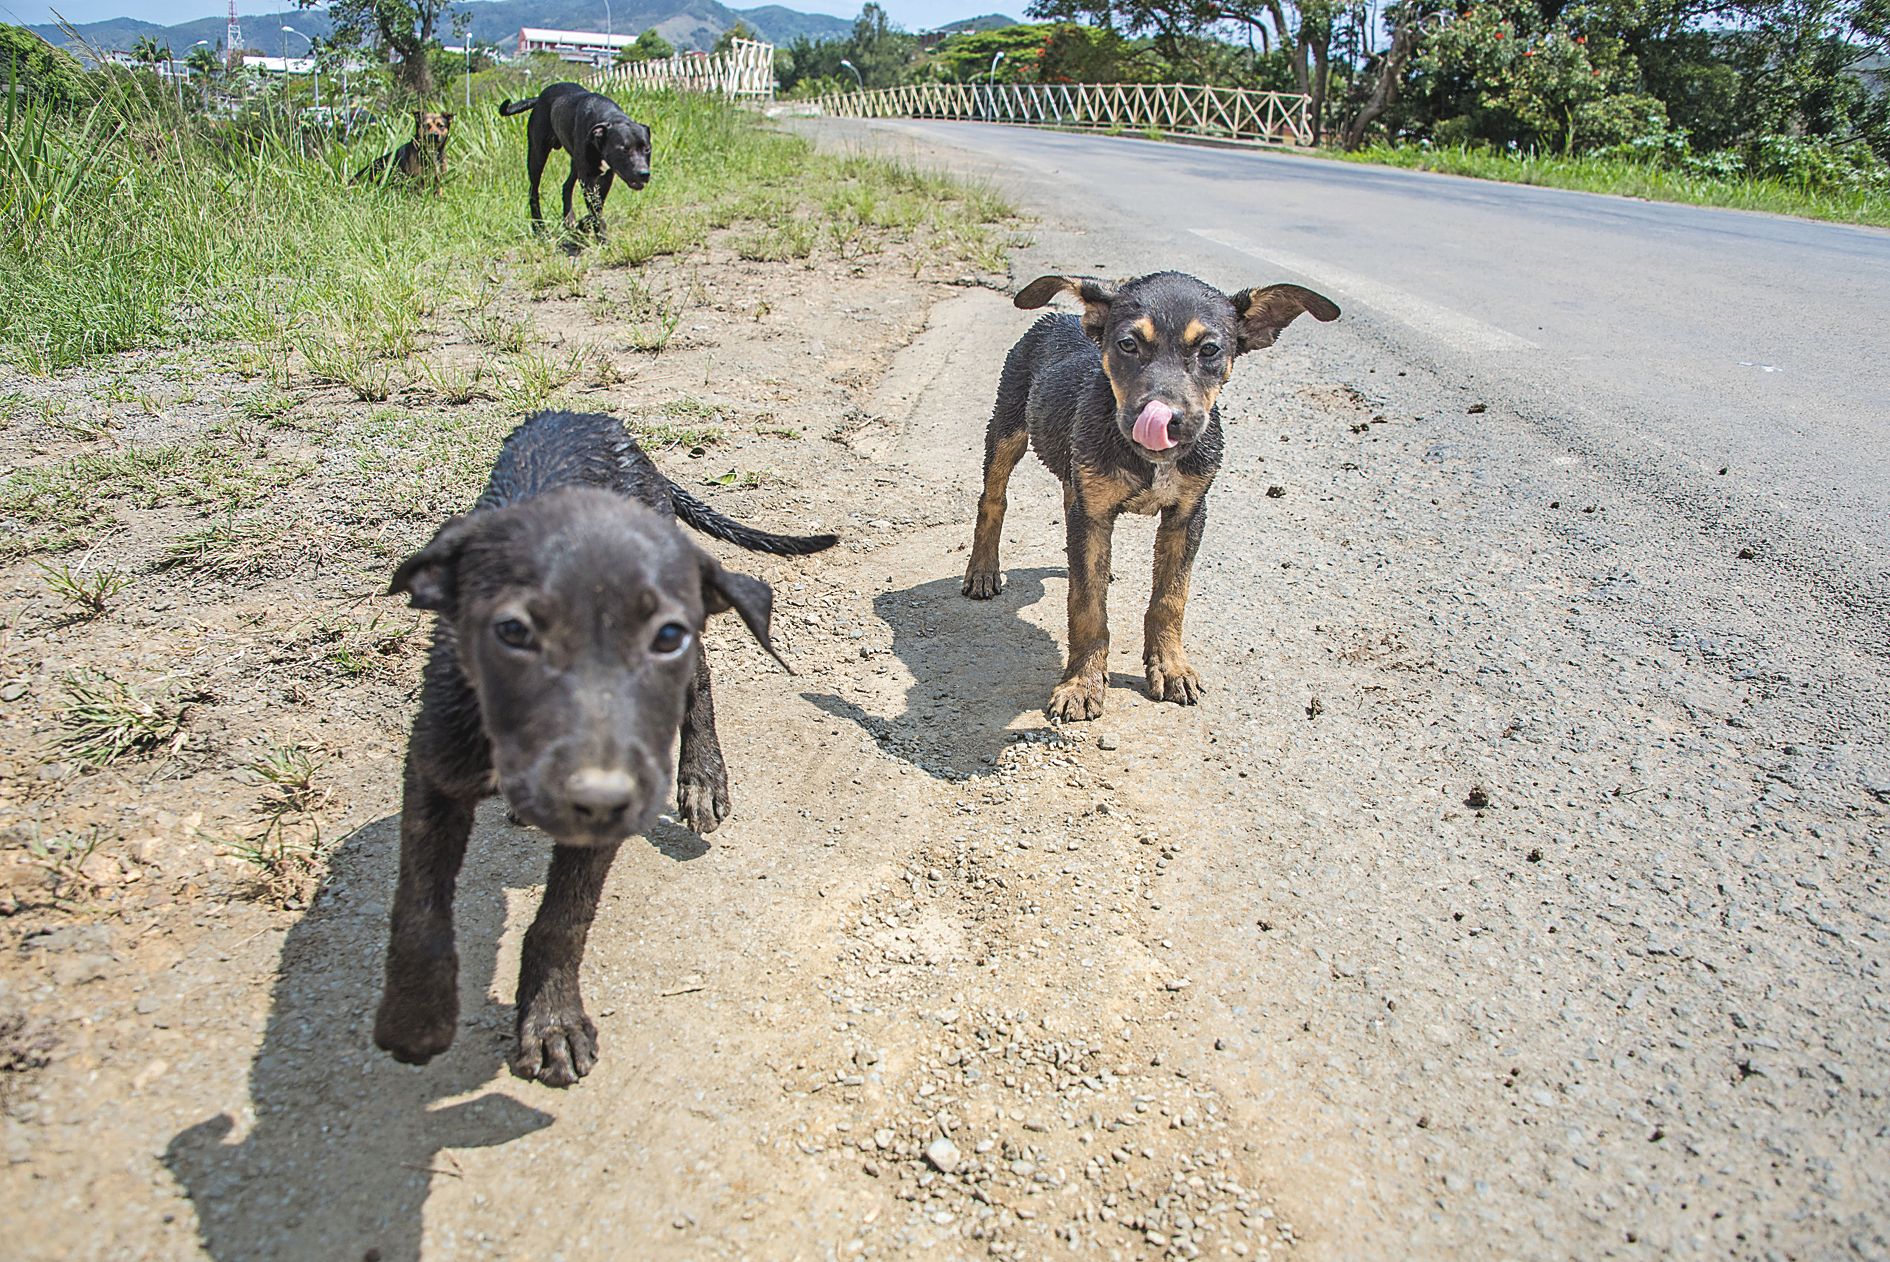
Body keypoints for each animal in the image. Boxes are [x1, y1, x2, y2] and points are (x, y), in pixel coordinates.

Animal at [376, 411, 835, 1088]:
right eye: (514, 631)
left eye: (660, 639)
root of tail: (591, 417)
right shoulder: (435, 767)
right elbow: (419, 906)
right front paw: (416, 1017)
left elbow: (563, 918)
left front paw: (550, 1020)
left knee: (701, 678)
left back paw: (702, 778)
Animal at [498, 84, 653, 243]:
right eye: (624, 149)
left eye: (647, 149)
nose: (644, 173)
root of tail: (539, 97)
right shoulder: (587, 178)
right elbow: (595, 210)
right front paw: (602, 239)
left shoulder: (606, 176)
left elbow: (596, 207)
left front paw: (582, 226)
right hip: (537, 155)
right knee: (533, 191)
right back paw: (540, 228)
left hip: (575, 164)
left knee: (566, 186)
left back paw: (569, 220)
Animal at [960, 272, 1345, 725]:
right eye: (1128, 344)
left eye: (1209, 350)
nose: (1164, 418)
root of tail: (1063, 316)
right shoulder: (1093, 514)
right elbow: (1087, 605)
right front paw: (1082, 683)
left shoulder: (1188, 514)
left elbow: (1170, 598)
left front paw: (1170, 666)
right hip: (1007, 428)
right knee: (993, 499)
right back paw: (983, 571)